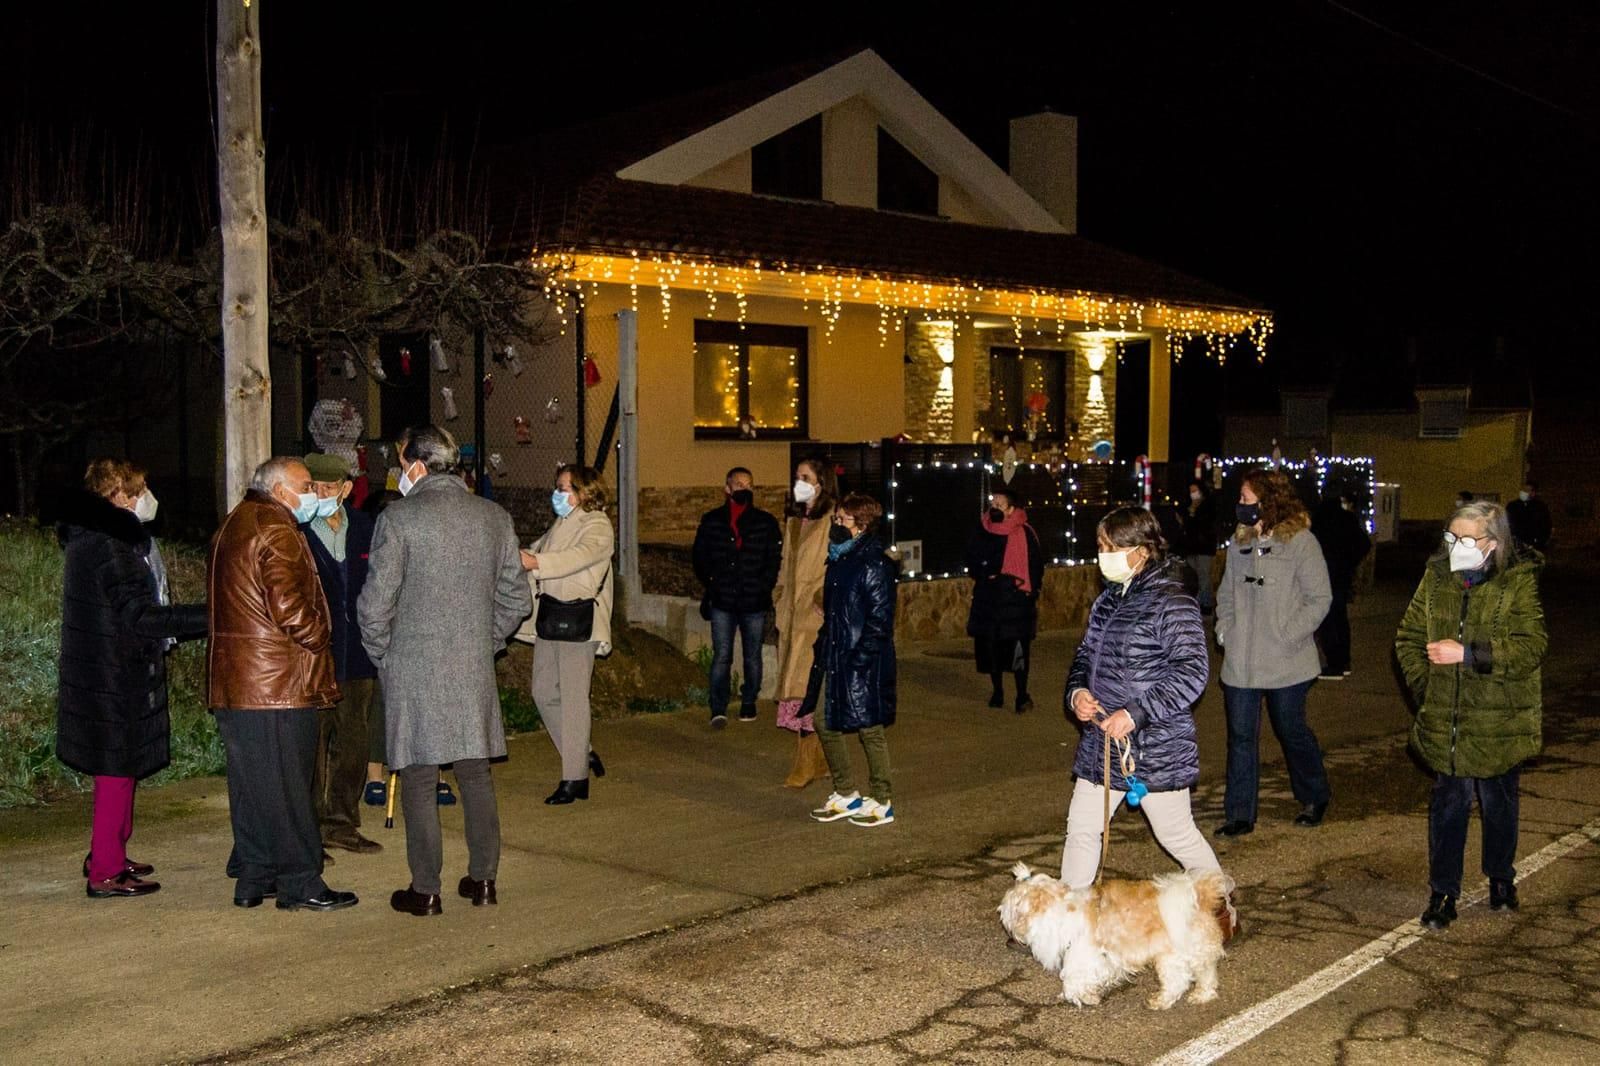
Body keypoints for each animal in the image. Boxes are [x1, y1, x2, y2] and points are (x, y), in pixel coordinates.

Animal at [998, 864, 1235, 1005]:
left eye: (1009, 903)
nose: (1001, 914)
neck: (1060, 908)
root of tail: (1199, 896)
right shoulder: (1104, 960)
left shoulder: (1082, 956)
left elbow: (1073, 979)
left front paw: (1081, 996)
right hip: (1196, 951)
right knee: (1206, 974)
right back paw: (1202, 995)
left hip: (1172, 956)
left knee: (1178, 981)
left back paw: (1161, 1001)